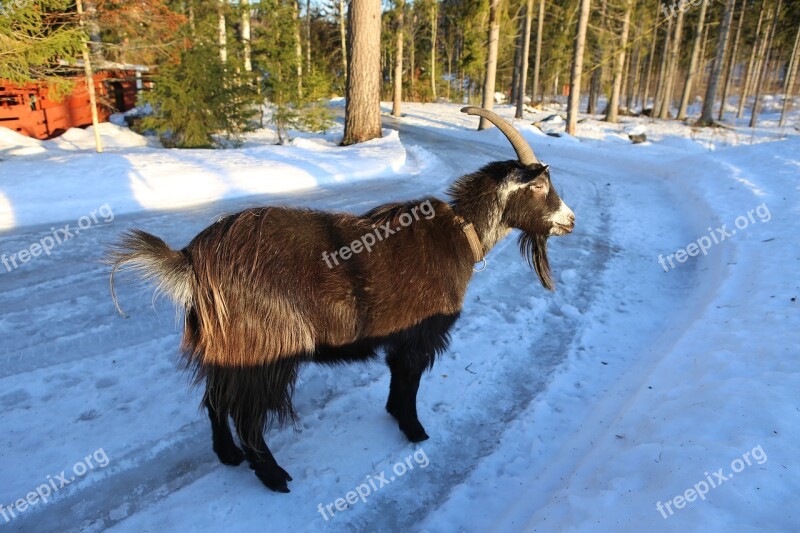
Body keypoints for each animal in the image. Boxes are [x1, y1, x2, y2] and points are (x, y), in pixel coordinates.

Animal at [109, 106, 580, 492]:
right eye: (539, 185)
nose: (571, 220)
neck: (462, 235)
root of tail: (193, 258)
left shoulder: (401, 338)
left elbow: (397, 379)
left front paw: (394, 415)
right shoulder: (420, 336)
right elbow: (410, 383)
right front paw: (414, 430)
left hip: (223, 347)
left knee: (214, 401)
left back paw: (228, 456)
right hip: (266, 345)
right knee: (247, 415)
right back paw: (273, 475)